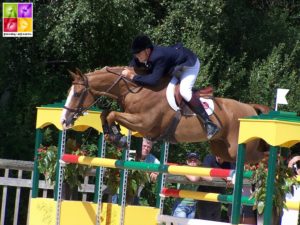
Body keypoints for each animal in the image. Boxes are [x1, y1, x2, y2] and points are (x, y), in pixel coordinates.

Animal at [61, 66, 270, 163]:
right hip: (222, 150)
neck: (135, 89)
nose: (64, 120)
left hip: (239, 149)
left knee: (264, 156)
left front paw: (118, 138)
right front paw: (114, 135)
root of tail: (250, 108)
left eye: (77, 94)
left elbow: (112, 114)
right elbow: (105, 113)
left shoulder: (143, 123)